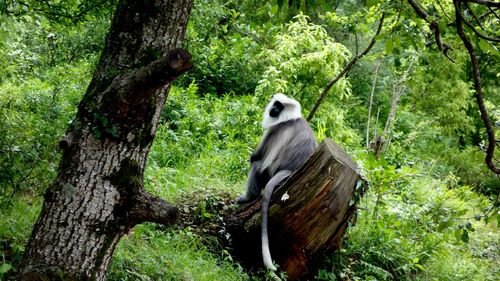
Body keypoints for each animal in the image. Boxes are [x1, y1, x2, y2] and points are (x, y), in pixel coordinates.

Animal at [236, 93, 318, 270]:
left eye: (279, 106)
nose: (273, 109)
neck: (291, 118)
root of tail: (290, 171)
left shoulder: (274, 130)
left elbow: (256, 157)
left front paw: (253, 157)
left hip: (267, 173)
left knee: (257, 165)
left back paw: (249, 197)